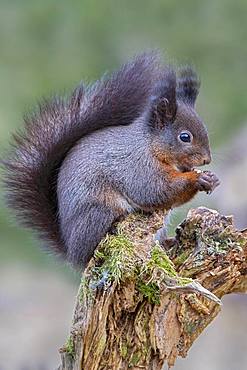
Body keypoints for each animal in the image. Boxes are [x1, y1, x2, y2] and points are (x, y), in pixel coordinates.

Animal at [2, 50, 220, 268]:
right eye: (185, 137)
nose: (206, 160)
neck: (150, 144)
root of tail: (72, 251)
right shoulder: (137, 165)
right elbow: (156, 189)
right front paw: (197, 179)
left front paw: (211, 179)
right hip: (99, 211)